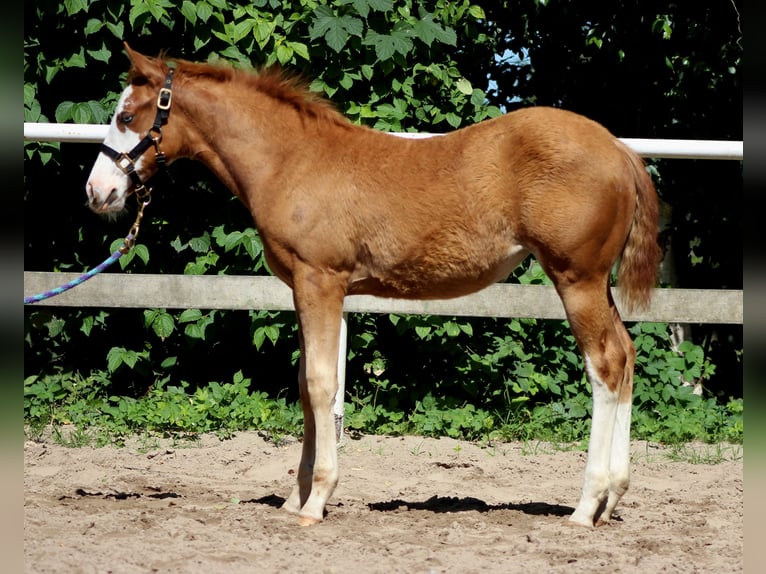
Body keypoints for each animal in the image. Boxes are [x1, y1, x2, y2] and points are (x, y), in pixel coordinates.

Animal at [85, 43, 661, 528]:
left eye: (126, 116)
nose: (97, 191)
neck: (292, 160)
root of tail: (619, 150)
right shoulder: (303, 288)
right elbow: (305, 386)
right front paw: (294, 497)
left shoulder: (320, 282)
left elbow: (322, 384)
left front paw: (315, 502)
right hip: (596, 285)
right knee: (627, 355)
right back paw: (612, 499)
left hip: (576, 279)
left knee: (605, 366)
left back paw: (586, 506)